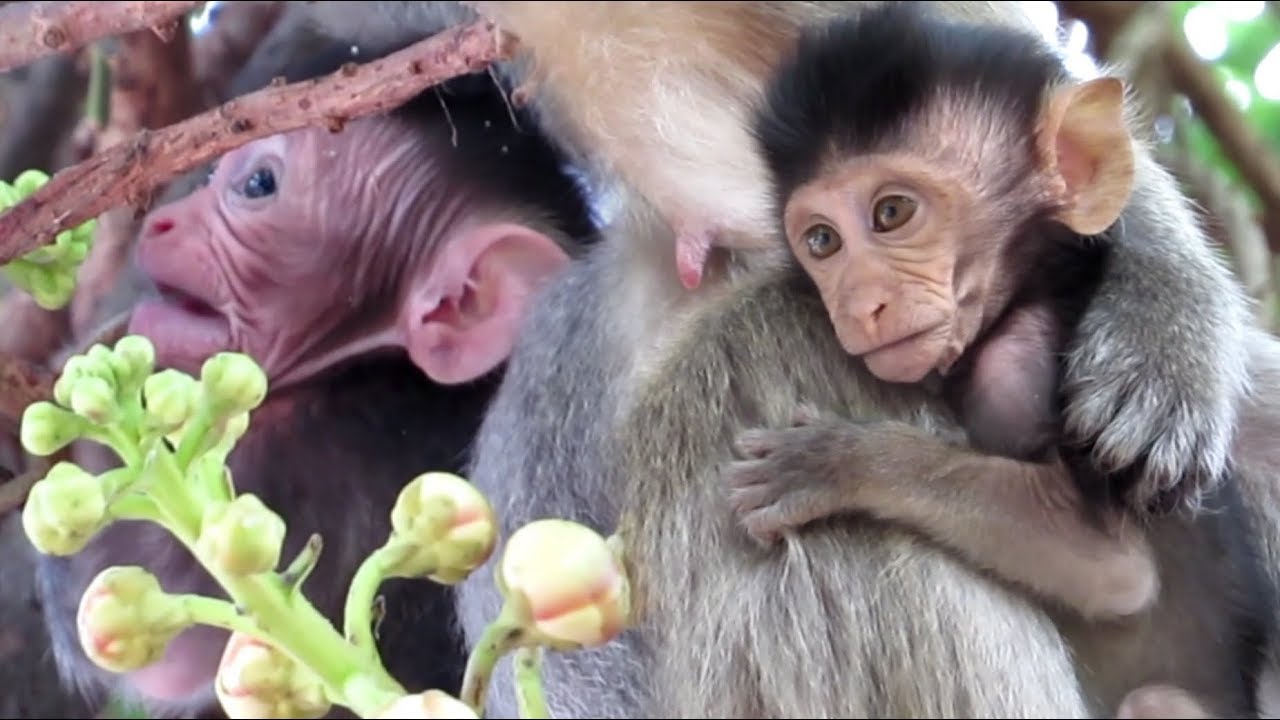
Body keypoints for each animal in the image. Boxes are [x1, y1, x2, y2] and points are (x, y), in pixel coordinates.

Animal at [710, 6, 1276, 716]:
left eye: (891, 212)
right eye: (821, 241)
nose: (858, 304)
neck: (1026, 291)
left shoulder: (1024, 363)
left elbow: (1114, 568)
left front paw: (842, 462)